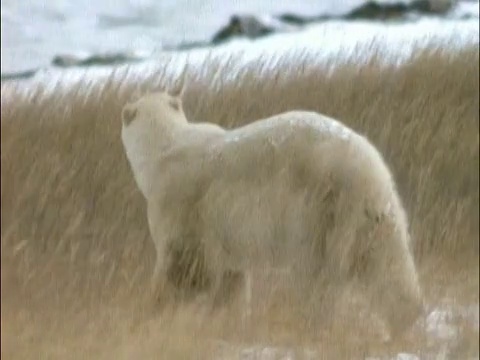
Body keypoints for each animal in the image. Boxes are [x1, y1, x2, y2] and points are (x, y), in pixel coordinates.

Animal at [120, 90, 424, 338]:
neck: (163, 148)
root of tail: (364, 168)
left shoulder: (180, 205)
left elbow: (183, 267)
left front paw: (149, 312)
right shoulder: (225, 235)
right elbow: (231, 280)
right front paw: (230, 323)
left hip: (314, 213)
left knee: (316, 276)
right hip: (374, 213)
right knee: (388, 265)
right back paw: (406, 321)